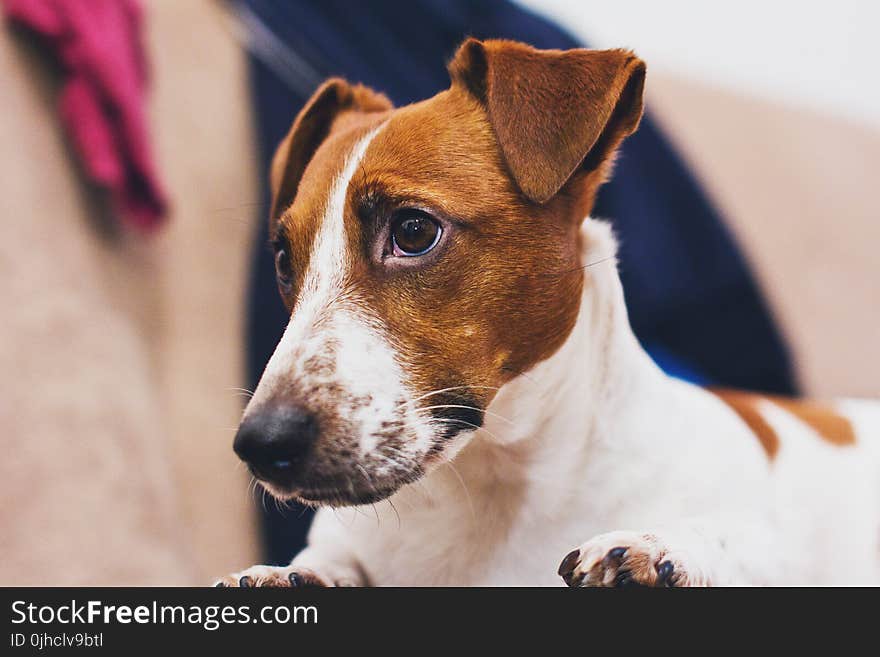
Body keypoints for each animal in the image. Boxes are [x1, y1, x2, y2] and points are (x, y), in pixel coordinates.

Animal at [215, 38, 880, 588]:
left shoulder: (766, 539)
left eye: (413, 231)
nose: (260, 445)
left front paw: (662, 548)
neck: (492, 488)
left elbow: (734, 542)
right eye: (284, 260)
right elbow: (326, 558)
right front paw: (291, 575)